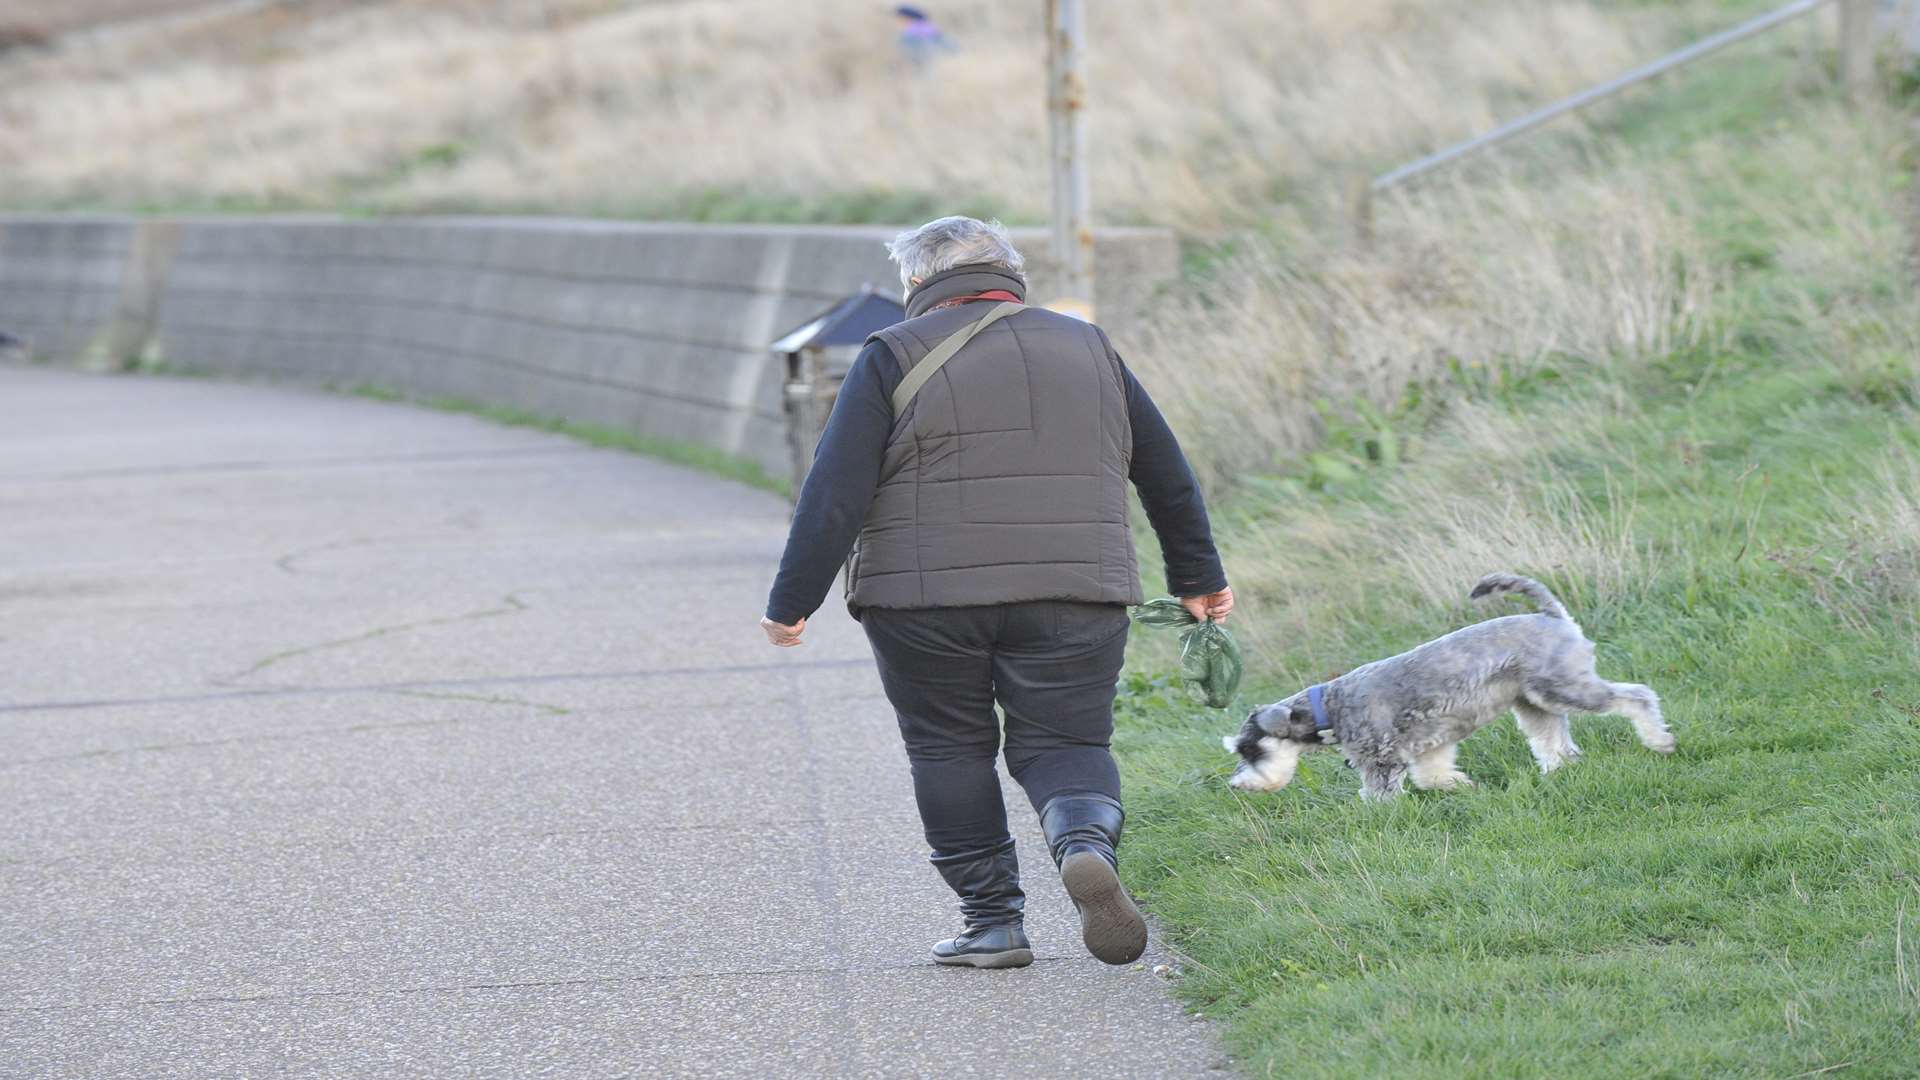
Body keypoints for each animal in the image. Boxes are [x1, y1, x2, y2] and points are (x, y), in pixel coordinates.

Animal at [1228, 572, 1666, 791]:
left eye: (1249, 749)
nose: (1237, 785)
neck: (1328, 707)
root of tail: (1551, 615)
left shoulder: (1381, 760)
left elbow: (1380, 796)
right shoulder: (1430, 746)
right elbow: (1433, 775)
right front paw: (1461, 787)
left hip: (1566, 688)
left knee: (1638, 696)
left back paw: (1659, 741)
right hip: (1535, 703)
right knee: (1553, 741)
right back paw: (1557, 772)